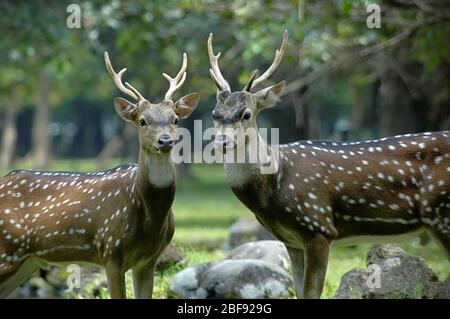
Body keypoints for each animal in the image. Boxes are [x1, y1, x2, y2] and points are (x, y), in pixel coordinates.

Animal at [0, 51, 200, 298]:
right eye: (142, 121)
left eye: (175, 119)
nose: (165, 141)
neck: (150, 218)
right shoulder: (111, 250)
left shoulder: (149, 260)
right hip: (6, 251)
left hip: (26, 262)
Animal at [207, 30, 450, 300]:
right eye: (215, 114)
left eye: (246, 114)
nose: (222, 142)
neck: (276, 185)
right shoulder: (290, 240)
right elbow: (300, 291)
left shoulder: (318, 226)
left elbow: (312, 292)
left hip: (441, 212)